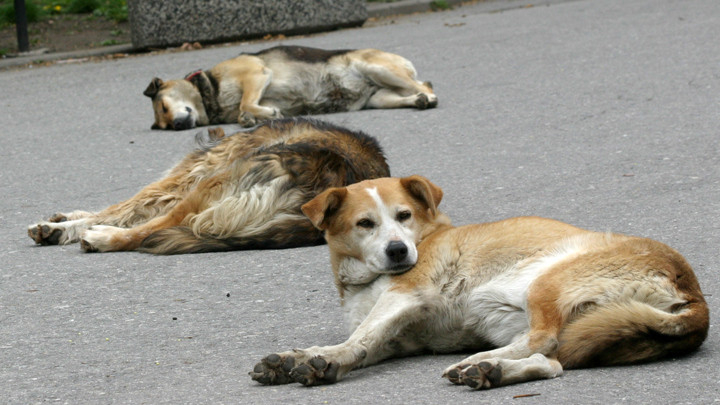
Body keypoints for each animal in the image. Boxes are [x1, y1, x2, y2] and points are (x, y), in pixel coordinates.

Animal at [26, 118, 388, 254]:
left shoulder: (183, 180)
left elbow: (125, 208)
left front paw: (64, 226)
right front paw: (61, 222)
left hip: (215, 182)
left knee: (158, 225)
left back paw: (101, 238)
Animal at [143, 44, 436, 129]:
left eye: (163, 105)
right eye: (165, 122)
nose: (178, 125)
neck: (210, 92)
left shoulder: (257, 74)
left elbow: (245, 103)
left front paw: (262, 115)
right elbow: (244, 110)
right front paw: (252, 118)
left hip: (376, 68)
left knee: (425, 85)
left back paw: (429, 97)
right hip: (379, 96)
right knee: (411, 93)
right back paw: (418, 100)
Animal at [252, 174, 708, 388]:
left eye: (403, 216)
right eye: (365, 223)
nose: (398, 251)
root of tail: (695, 296)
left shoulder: (405, 295)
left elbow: (358, 339)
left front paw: (325, 358)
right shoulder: (400, 339)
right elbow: (361, 344)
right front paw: (303, 357)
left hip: (546, 281)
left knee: (543, 339)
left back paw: (480, 362)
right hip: (586, 325)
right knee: (552, 362)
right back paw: (493, 371)